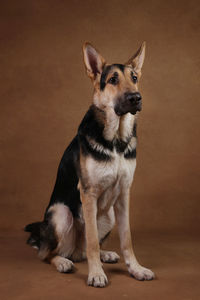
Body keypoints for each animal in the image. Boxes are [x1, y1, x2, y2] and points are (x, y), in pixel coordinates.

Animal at [24, 41, 155, 288]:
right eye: (112, 80)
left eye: (134, 77)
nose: (136, 97)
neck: (116, 141)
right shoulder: (89, 193)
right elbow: (92, 240)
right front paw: (96, 274)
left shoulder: (123, 194)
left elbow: (127, 239)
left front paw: (136, 269)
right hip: (61, 214)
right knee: (48, 253)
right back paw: (63, 262)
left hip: (109, 214)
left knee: (82, 250)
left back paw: (105, 255)